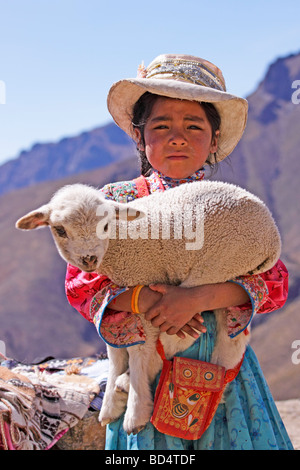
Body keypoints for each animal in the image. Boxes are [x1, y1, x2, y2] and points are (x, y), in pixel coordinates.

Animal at [15, 180, 282, 434]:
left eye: (105, 226)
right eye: (60, 230)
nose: (89, 259)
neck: (119, 242)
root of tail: (273, 235)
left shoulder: (144, 281)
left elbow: (138, 351)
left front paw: (136, 413)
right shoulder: (117, 301)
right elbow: (114, 352)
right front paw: (110, 406)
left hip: (216, 263)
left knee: (185, 330)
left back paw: (136, 377)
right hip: (229, 269)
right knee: (232, 337)